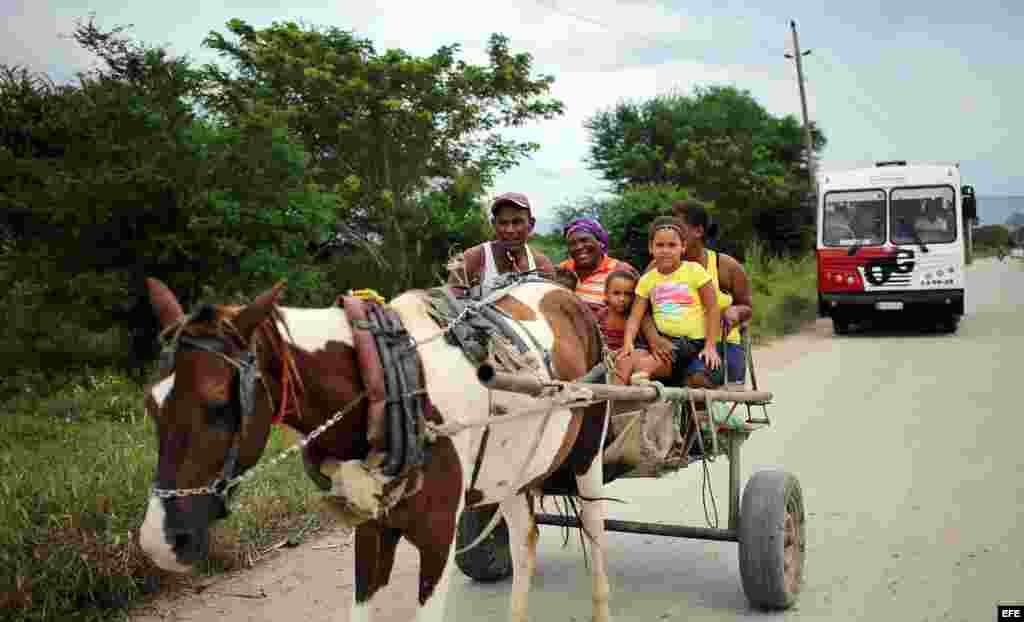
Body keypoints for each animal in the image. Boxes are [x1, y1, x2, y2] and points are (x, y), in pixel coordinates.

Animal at [136, 280, 614, 622]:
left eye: (219, 406)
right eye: (151, 405)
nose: (159, 541)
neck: (389, 385)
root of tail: (562, 291)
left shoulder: (439, 536)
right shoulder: (371, 528)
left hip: (588, 455)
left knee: (595, 535)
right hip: (514, 474)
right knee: (524, 542)